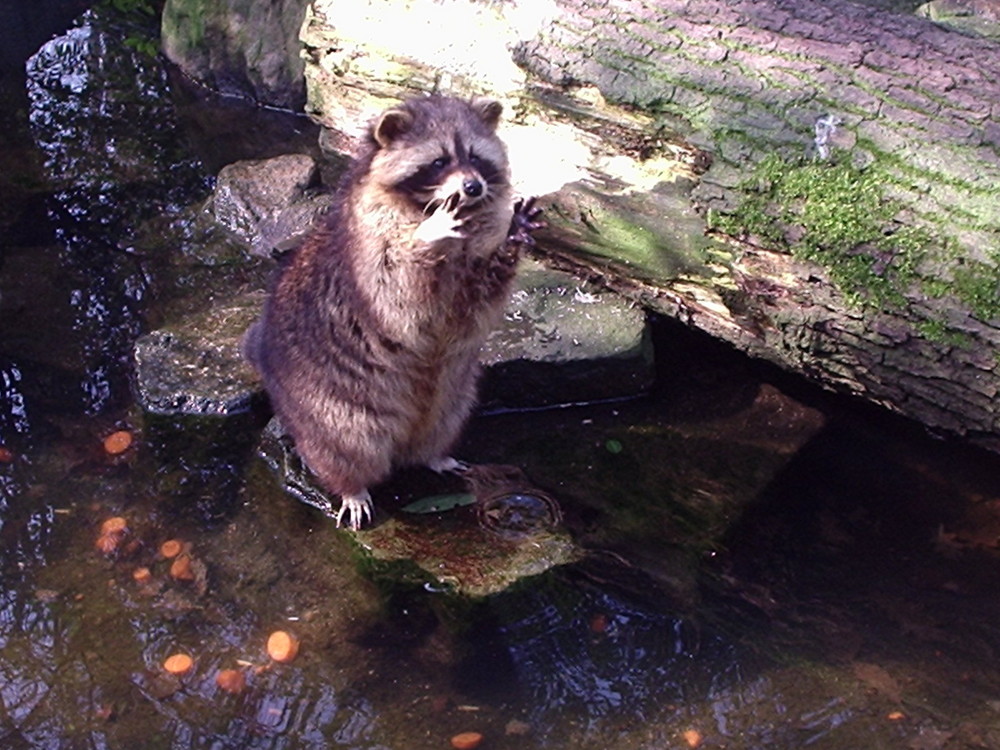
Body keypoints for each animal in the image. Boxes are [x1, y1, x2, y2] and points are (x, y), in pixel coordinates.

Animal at [245, 95, 544, 528]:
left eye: (475, 156)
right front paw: (428, 235)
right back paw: (351, 486)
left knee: (440, 423)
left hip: (453, 396)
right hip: (329, 405)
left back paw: (433, 455)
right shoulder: (369, 244)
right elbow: (400, 289)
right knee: (347, 447)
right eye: (439, 161)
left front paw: (510, 237)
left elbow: (478, 297)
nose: (473, 187)